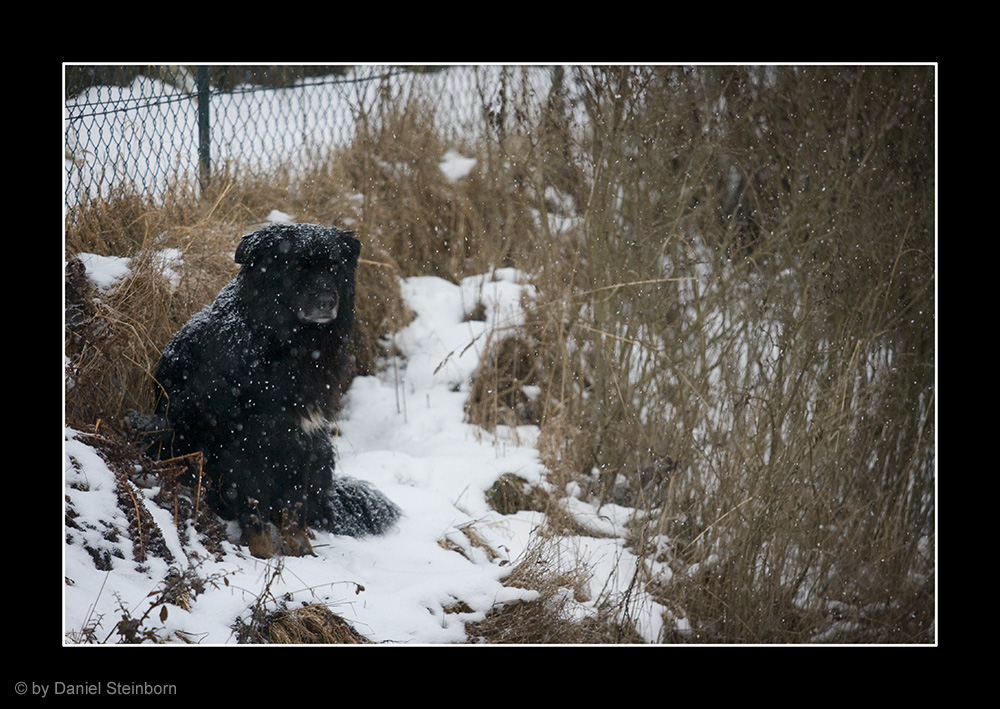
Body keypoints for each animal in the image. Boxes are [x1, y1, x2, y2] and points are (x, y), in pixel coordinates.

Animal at [152, 224, 398, 556]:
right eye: (297, 268)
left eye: (333, 267)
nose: (326, 301)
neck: (289, 347)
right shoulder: (247, 440)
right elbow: (253, 502)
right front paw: (263, 553)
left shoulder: (304, 438)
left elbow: (295, 503)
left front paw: (301, 551)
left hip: (323, 452)